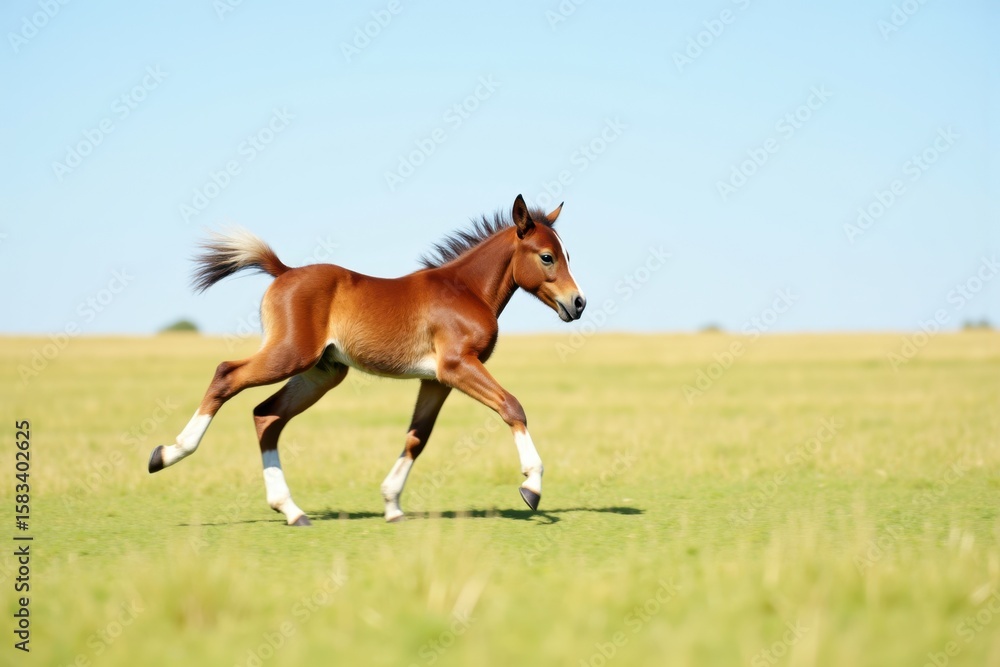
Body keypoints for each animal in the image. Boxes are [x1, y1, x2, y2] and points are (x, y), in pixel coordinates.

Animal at [148, 194, 586, 525]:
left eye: (567, 254)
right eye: (547, 257)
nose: (578, 303)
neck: (465, 289)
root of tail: (283, 272)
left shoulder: (435, 380)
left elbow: (417, 437)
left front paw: (391, 504)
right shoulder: (457, 367)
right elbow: (512, 406)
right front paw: (532, 486)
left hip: (322, 373)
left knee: (266, 415)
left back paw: (291, 510)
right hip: (290, 356)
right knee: (227, 375)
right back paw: (168, 453)